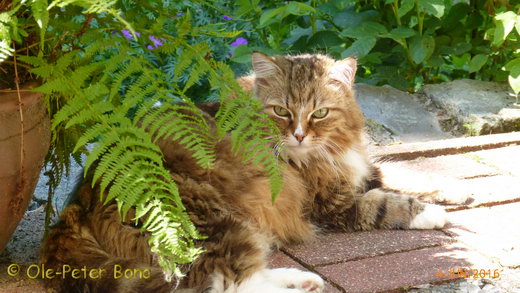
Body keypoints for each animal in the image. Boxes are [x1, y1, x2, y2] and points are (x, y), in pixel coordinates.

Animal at [40, 53, 446, 292]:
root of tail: (81, 200)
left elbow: (411, 175)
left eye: (319, 113)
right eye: (282, 111)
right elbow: (389, 203)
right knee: (230, 282)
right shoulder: (332, 204)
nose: (298, 135)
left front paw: (450, 191)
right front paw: (434, 214)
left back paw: (302, 281)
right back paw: (304, 280)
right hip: (218, 224)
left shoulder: (360, 172)